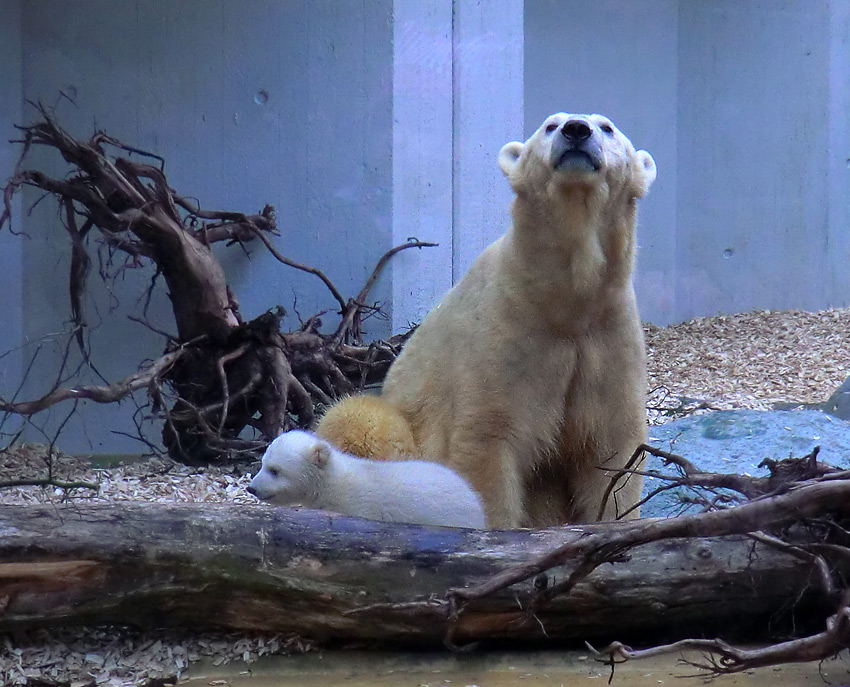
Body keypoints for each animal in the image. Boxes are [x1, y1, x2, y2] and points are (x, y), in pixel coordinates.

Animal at [318, 114, 656, 528]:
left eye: (607, 127)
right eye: (550, 125)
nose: (576, 129)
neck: (564, 302)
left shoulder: (607, 337)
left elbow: (612, 451)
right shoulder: (508, 330)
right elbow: (489, 439)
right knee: (359, 421)